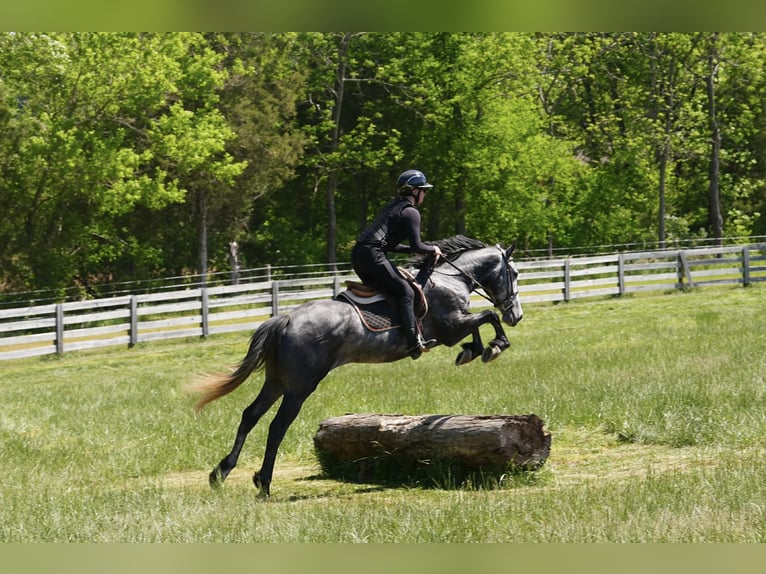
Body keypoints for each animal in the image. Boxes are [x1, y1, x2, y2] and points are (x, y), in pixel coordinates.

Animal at [188, 236, 523, 497]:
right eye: (515, 273)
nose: (516, 315)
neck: (451, 279)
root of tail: (284, 320)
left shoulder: (455, 326)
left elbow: (479, 323)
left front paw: (474, 351)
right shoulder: (450, 328)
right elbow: (486, 316)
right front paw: (494, 346)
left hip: (277, 381)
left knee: (250, 416)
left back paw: (221, 473)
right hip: (300, 386)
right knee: (277, 426)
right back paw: (264, 485)